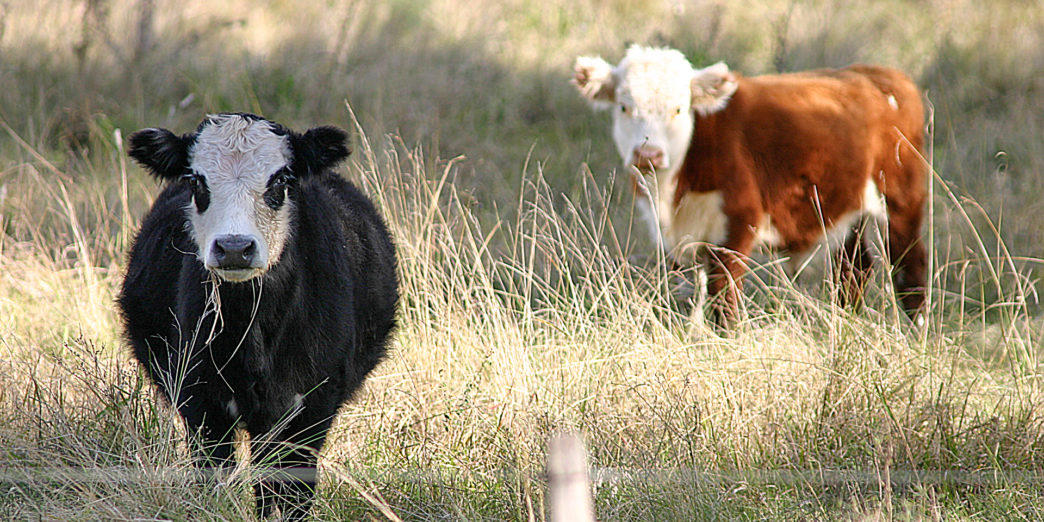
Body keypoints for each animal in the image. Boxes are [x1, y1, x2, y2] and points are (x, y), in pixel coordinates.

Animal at [119, 113, 399, 519]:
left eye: (280, 180)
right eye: (196, 181)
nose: (235, 247)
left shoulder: (312, 405)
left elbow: (292, 488)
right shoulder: (200, 402)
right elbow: (214, 477)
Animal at [573, 45, 927, 327]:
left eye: (678, 108)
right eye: (624, 107)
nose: (648, 154)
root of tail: (879, 73)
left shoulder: (736, 227)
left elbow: (724, 303)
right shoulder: (673, 241)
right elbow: (686, 298)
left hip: (902, 198)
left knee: (909, 268)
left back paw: (916, 334)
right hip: (847, 209)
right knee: (854, 269)